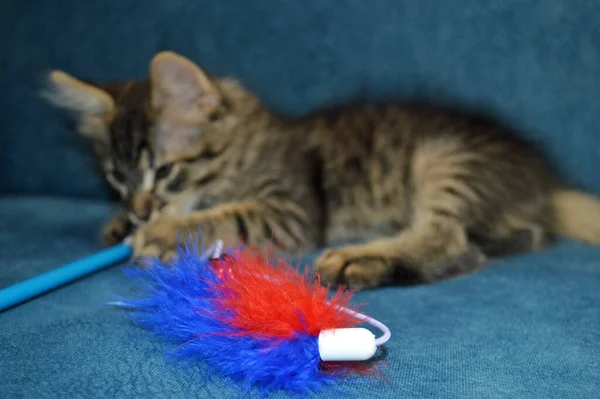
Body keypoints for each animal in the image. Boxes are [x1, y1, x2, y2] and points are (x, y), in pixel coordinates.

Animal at [44, 53, 600, 290]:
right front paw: (120, 223)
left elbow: (228, 214)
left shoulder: (290, 209)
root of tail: (544, 180)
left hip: (448, 160)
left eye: (163, 172)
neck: (250, 142)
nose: (139, 210)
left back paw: (361, 260)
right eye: (116, 180)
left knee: (449, 237)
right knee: (474, 249)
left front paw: (162, 232)